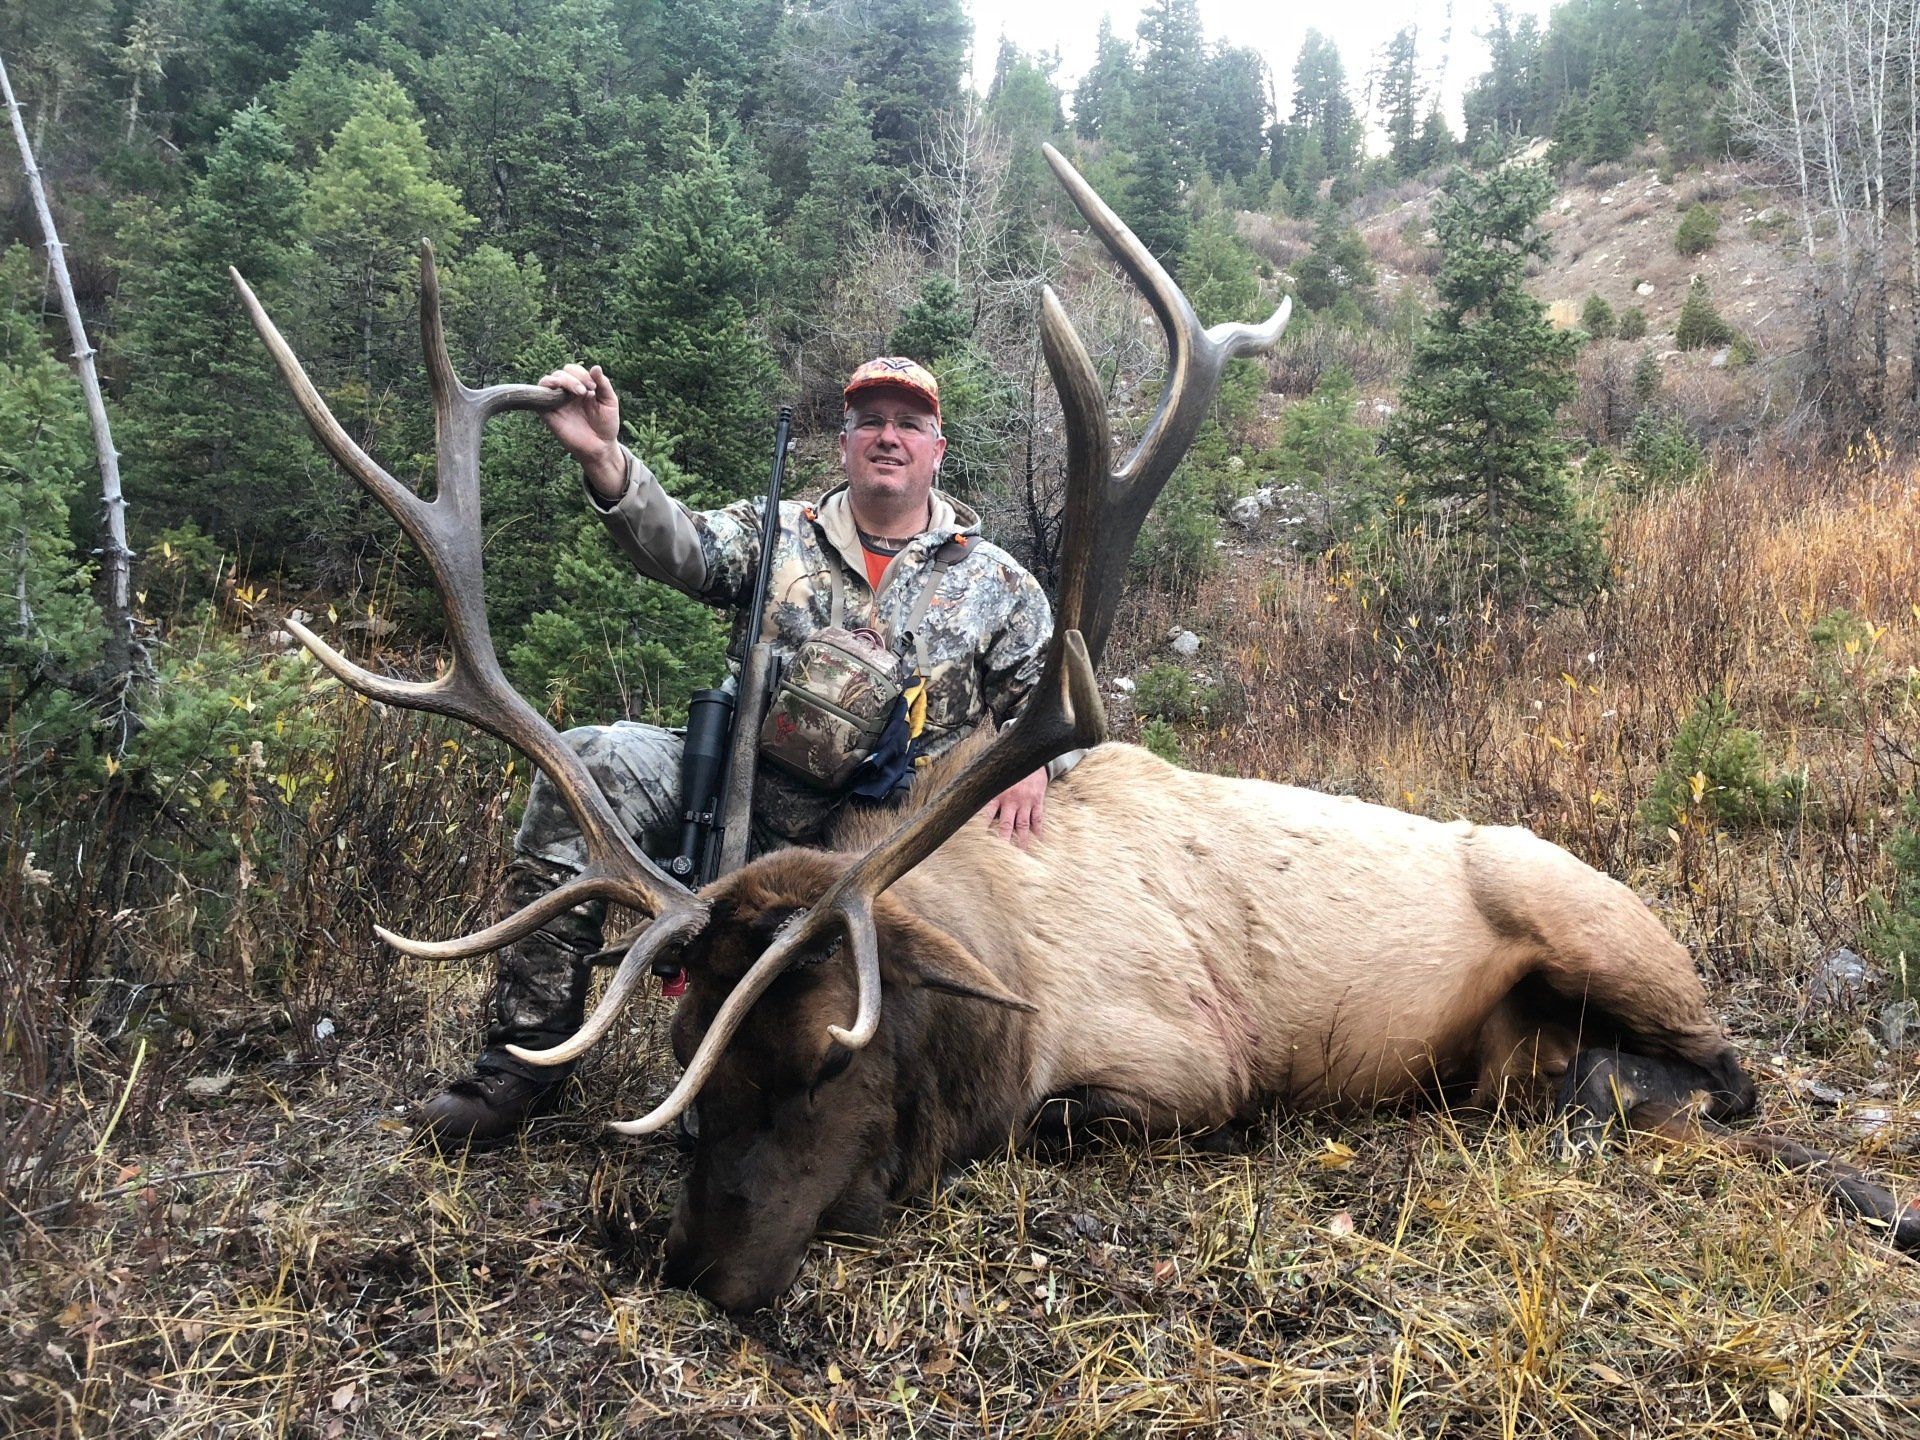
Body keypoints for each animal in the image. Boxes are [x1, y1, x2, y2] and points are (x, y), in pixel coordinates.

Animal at [234, 145, 1920, 1315]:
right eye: (696, 1077)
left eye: (833, 1060)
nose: (703, 1273)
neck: (999, 977)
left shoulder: (1184, 1064)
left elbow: (1064, 1128)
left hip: (1589, 910)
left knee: (1736, 1073)